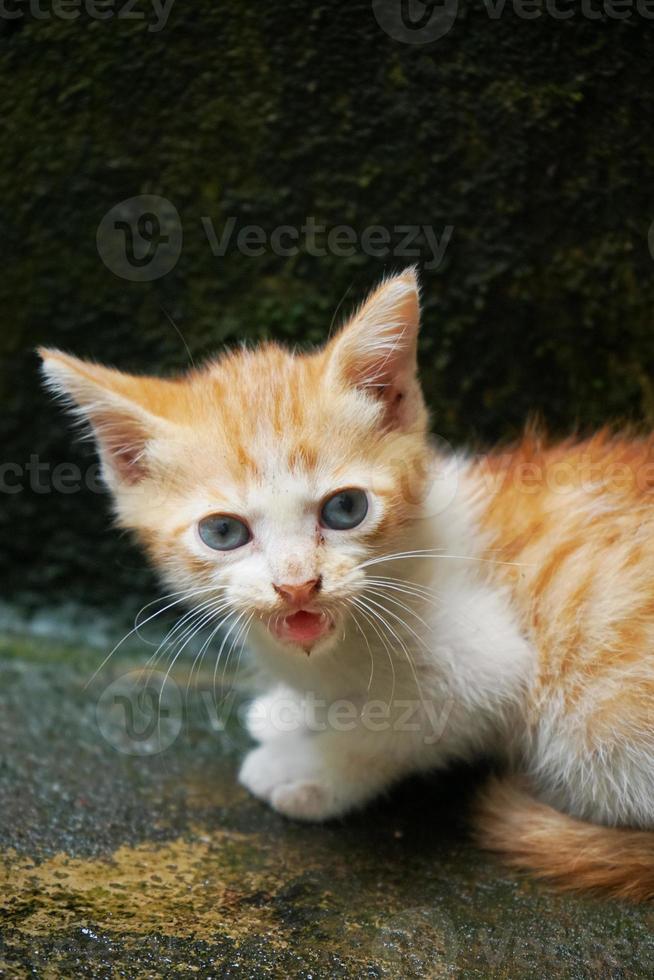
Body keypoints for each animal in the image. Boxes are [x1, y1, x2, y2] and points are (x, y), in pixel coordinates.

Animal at [39, 270, 654, 904]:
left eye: (346, 509)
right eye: (223, 532)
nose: (296, 585)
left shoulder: (492, 665)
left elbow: (399, 724)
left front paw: (309, 768)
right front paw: (290, 712)